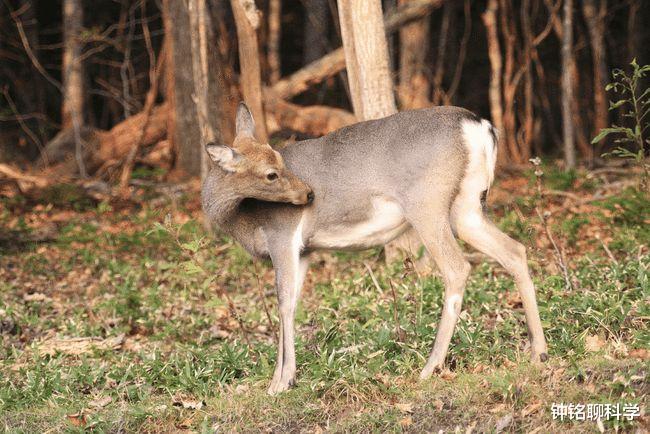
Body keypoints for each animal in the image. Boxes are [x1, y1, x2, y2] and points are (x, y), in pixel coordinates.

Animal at [202, 102, 548, 395]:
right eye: (272, 172)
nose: (308, 195)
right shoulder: (305, 251)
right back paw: (539, 352)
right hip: (467, 206)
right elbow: (293, 305)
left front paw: (280, 383)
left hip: (427, 202)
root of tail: (478, 125)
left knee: (458, 267)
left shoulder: (282, 235)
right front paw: (284, 378)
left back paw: (430, 367)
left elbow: (283, 304)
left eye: (278, 165)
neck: (242, 217)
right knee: (515, 251)